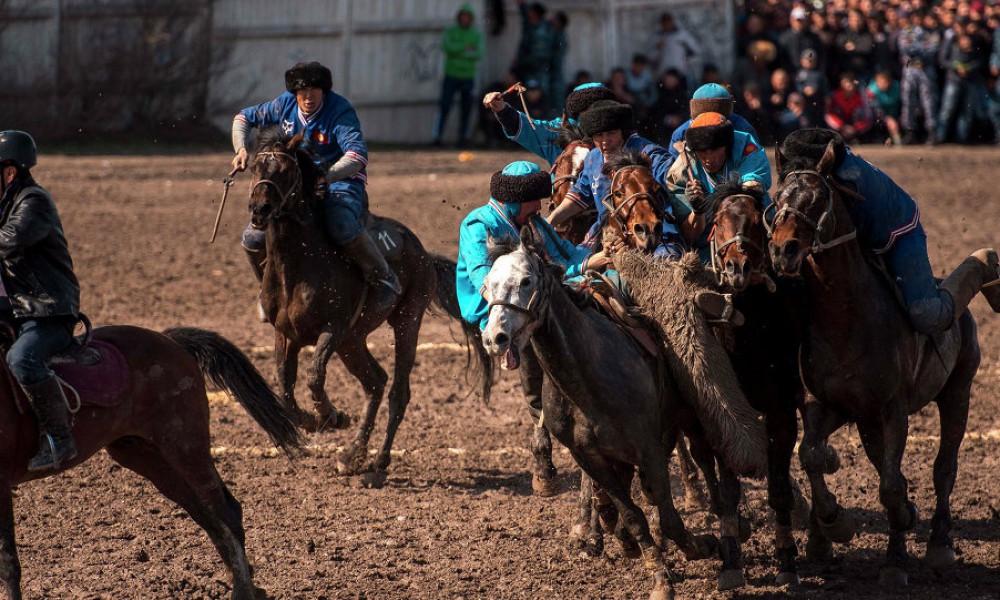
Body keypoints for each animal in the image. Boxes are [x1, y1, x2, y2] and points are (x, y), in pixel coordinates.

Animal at [0, 326, 300, 596]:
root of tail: (170, 340)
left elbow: (8, 562)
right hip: (149, 458)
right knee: (206, 514)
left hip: (185, 446)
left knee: (225, 511)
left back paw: (243, 589)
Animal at [246, 127, 488, 482]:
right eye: (255, 167)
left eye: (287, 170)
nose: (259, 209)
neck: (301, 263)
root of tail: (422, 253)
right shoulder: (285, 335)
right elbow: (285, 390)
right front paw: (313, 421)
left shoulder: (332, 330)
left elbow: (314, 376)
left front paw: (331, 415)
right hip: (353, 341)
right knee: (375, 382)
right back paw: (352, 454)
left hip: (405, 321)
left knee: (397, 392)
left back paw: (378, 463)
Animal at [482, 229, 772, 596]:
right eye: (486, 285)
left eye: (525, 280)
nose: (494, 338)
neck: (586, 380)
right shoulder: (591, 458)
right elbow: (633, 515)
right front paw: (658, 572)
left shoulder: (647, 447)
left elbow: (668, 514)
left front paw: (698, 545)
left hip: (698, 419)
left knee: (719, 470)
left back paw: (732, 548)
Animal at [768, 142, 980, 584]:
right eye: (777, 200)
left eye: (817, 199)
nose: (782, 250)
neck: (846, 318)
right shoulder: (827, 404)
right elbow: (811, 454)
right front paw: (833, 523)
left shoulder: (892, 409)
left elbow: (891, 486)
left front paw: (896, 560)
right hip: (867, 424)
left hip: (959, 390)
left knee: (944, 467)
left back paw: (939, 544)